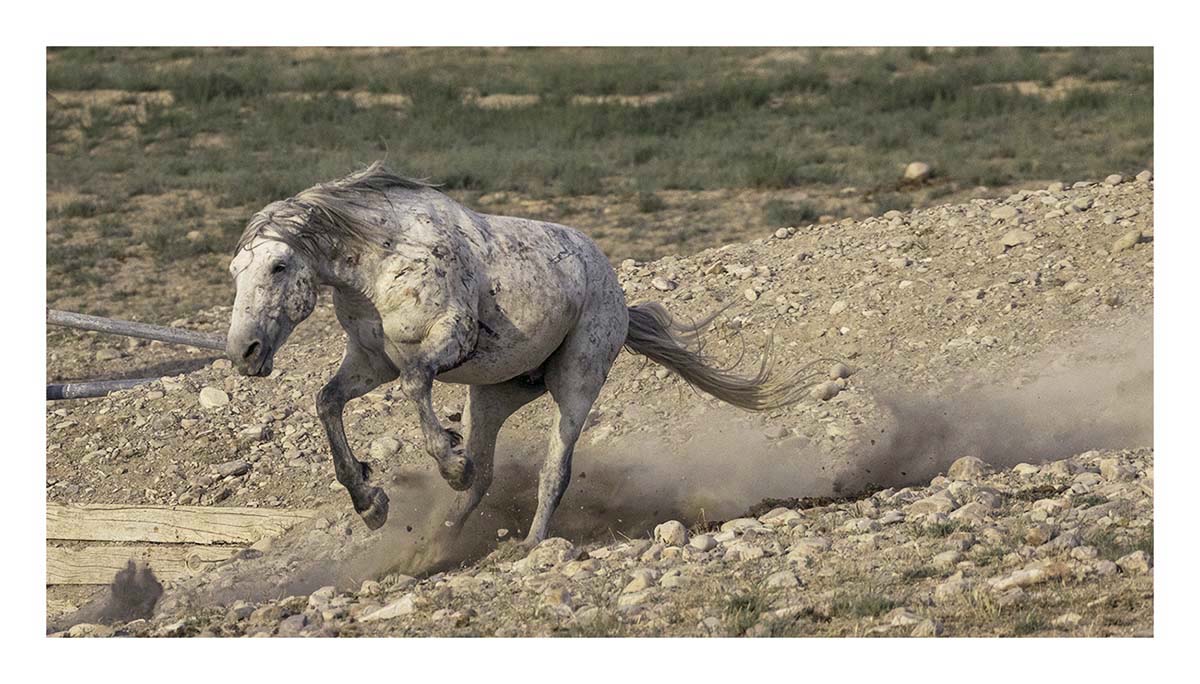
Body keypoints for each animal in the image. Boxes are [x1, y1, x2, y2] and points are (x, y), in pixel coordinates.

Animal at [226, 162, 818, 548]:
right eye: (235, 272)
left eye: (279, 265)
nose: (244, 352)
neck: (382, 259)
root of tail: (616, 290)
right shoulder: (372, 363)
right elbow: (327, 401)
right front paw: (370, 502)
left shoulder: (450, 339)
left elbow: (417, 382)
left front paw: (447, 461)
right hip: (493, 395)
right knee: (485, 479)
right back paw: (432, 550)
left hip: (576, 384)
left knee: (554, 470)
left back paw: (529, 544)